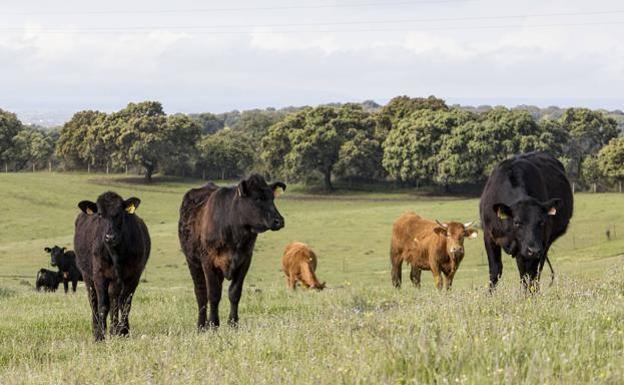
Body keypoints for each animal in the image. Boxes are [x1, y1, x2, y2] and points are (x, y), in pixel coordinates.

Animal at [73, 191, 150, 340]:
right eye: (100, 214)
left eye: (119, 213)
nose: (110, 237)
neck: (116, 255)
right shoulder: (99, 275)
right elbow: (103, 305)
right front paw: (100, 336)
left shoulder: (134, 276)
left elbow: (125, 304)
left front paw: (122, 332)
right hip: (87, 276)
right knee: (94, 302)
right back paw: (96, 329)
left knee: (116, 301)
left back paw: (116, 329)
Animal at [177, 173, 286, 328]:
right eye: (258, 198)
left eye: (272, 198)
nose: (279, 221)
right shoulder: (208, 261)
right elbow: (213, 294)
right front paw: (213, 324)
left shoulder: (245, 259)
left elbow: (234, 293)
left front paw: (233, 323)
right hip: (192, 261)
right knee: (201, 293)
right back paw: (201, 325)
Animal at [480, 152, 572, 290]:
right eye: (517, 222)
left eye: (541, 222)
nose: (533, 250)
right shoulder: (489, 236)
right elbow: (495, 270)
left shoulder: (533, 247)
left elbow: (528, 275)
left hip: (544, 245)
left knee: (535, 272)